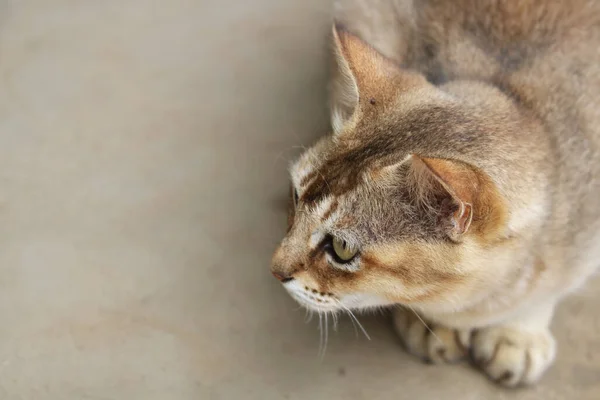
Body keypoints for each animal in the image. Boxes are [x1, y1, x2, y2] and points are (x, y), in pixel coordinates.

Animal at [270, 0, 600, 388]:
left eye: (342, 248)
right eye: (295, 196)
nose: (275, 270)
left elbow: (548, 290)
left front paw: (518, 334)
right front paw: (432, 326)